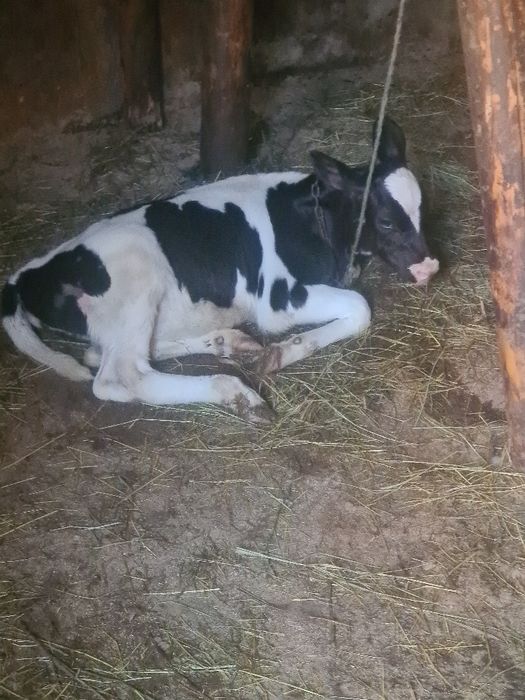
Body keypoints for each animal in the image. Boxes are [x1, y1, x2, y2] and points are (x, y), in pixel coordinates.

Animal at [1, 117, 438, 419]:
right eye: (386, 221)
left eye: (423, 208)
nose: (431, 267)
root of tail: (29, 274)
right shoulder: (278, 299)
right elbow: (360, 308)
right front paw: (281, 353)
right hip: (137, 276)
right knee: (121, 376)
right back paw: (235, 392)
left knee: (106, 355)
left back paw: (228, 342)